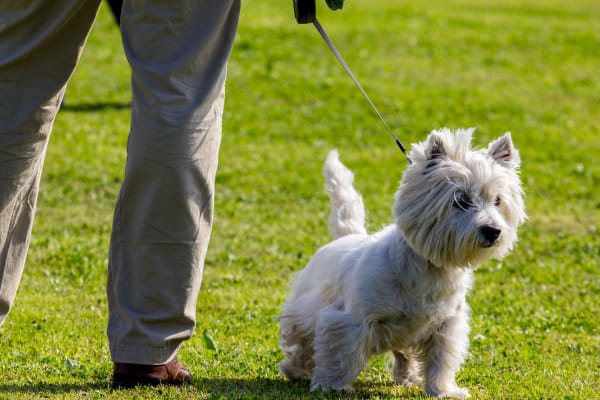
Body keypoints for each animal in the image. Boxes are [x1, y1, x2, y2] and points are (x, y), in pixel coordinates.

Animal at [278, 128, 524, 396]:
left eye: (497, 201)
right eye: (461, 200)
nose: (493, 231)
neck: (429, 269)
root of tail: (348, 236)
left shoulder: (445, 326)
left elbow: (441, 361)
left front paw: (444, 391)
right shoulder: (349, 320)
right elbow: (340, 356)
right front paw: (332, 386)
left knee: (405, 355)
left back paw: (407, 377)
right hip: (306, 306)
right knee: (301, 340)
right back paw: (295, 368)